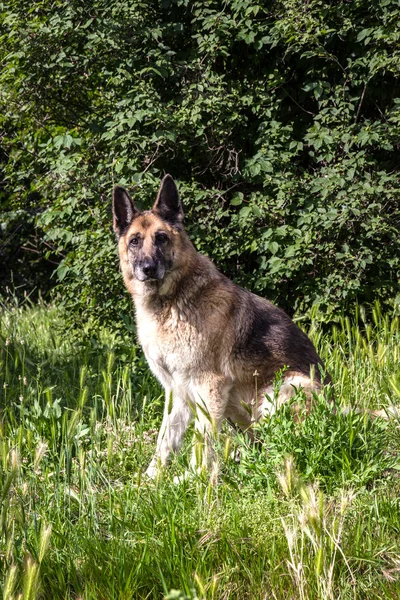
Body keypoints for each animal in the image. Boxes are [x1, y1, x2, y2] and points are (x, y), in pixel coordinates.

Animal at [112, 175, 332, 482]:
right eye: (134, 241)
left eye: (161, 238)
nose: (148, 268)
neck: (170, 302)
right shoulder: (177, 392)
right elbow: (166, 440)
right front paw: (150, 480)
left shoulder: (210, 387)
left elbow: (202, 442)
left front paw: (195, 481)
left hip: (284, 389)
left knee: (285, 445)